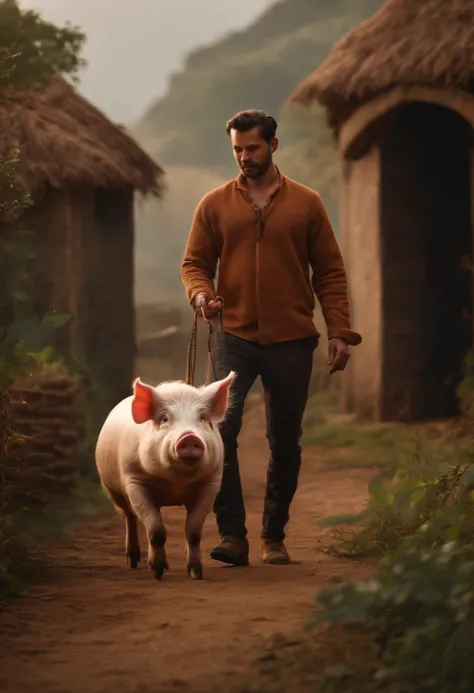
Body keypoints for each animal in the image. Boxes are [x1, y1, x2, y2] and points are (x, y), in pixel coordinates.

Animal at [93, 374, 234, 580]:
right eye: (165, 418)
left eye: (202, 417)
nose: (189, 437)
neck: (176, 482)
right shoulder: (134, 480)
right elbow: (156, 530)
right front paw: (157, 572)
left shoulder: (210, 482)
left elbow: (193, 532)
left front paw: (196, 573)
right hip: (111, 488)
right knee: (129, 516)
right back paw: (133, 562)